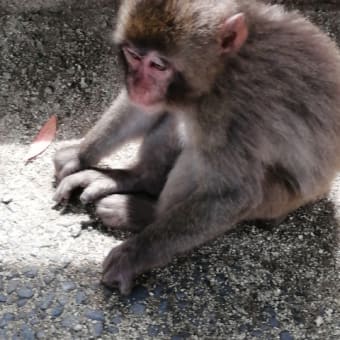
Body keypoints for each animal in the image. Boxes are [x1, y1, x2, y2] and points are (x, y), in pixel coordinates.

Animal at [52, 0, 340, 294]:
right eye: (133, 56)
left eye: (158, 65)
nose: (138, 85)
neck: (221, 69)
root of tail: (321, 190)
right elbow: (143, 108)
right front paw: (79, 156)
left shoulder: (227, 109)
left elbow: (234, 194)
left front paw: (133, 255)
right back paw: (138, 178)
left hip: (278, 199)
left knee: (199, 154)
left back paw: (145, 214)